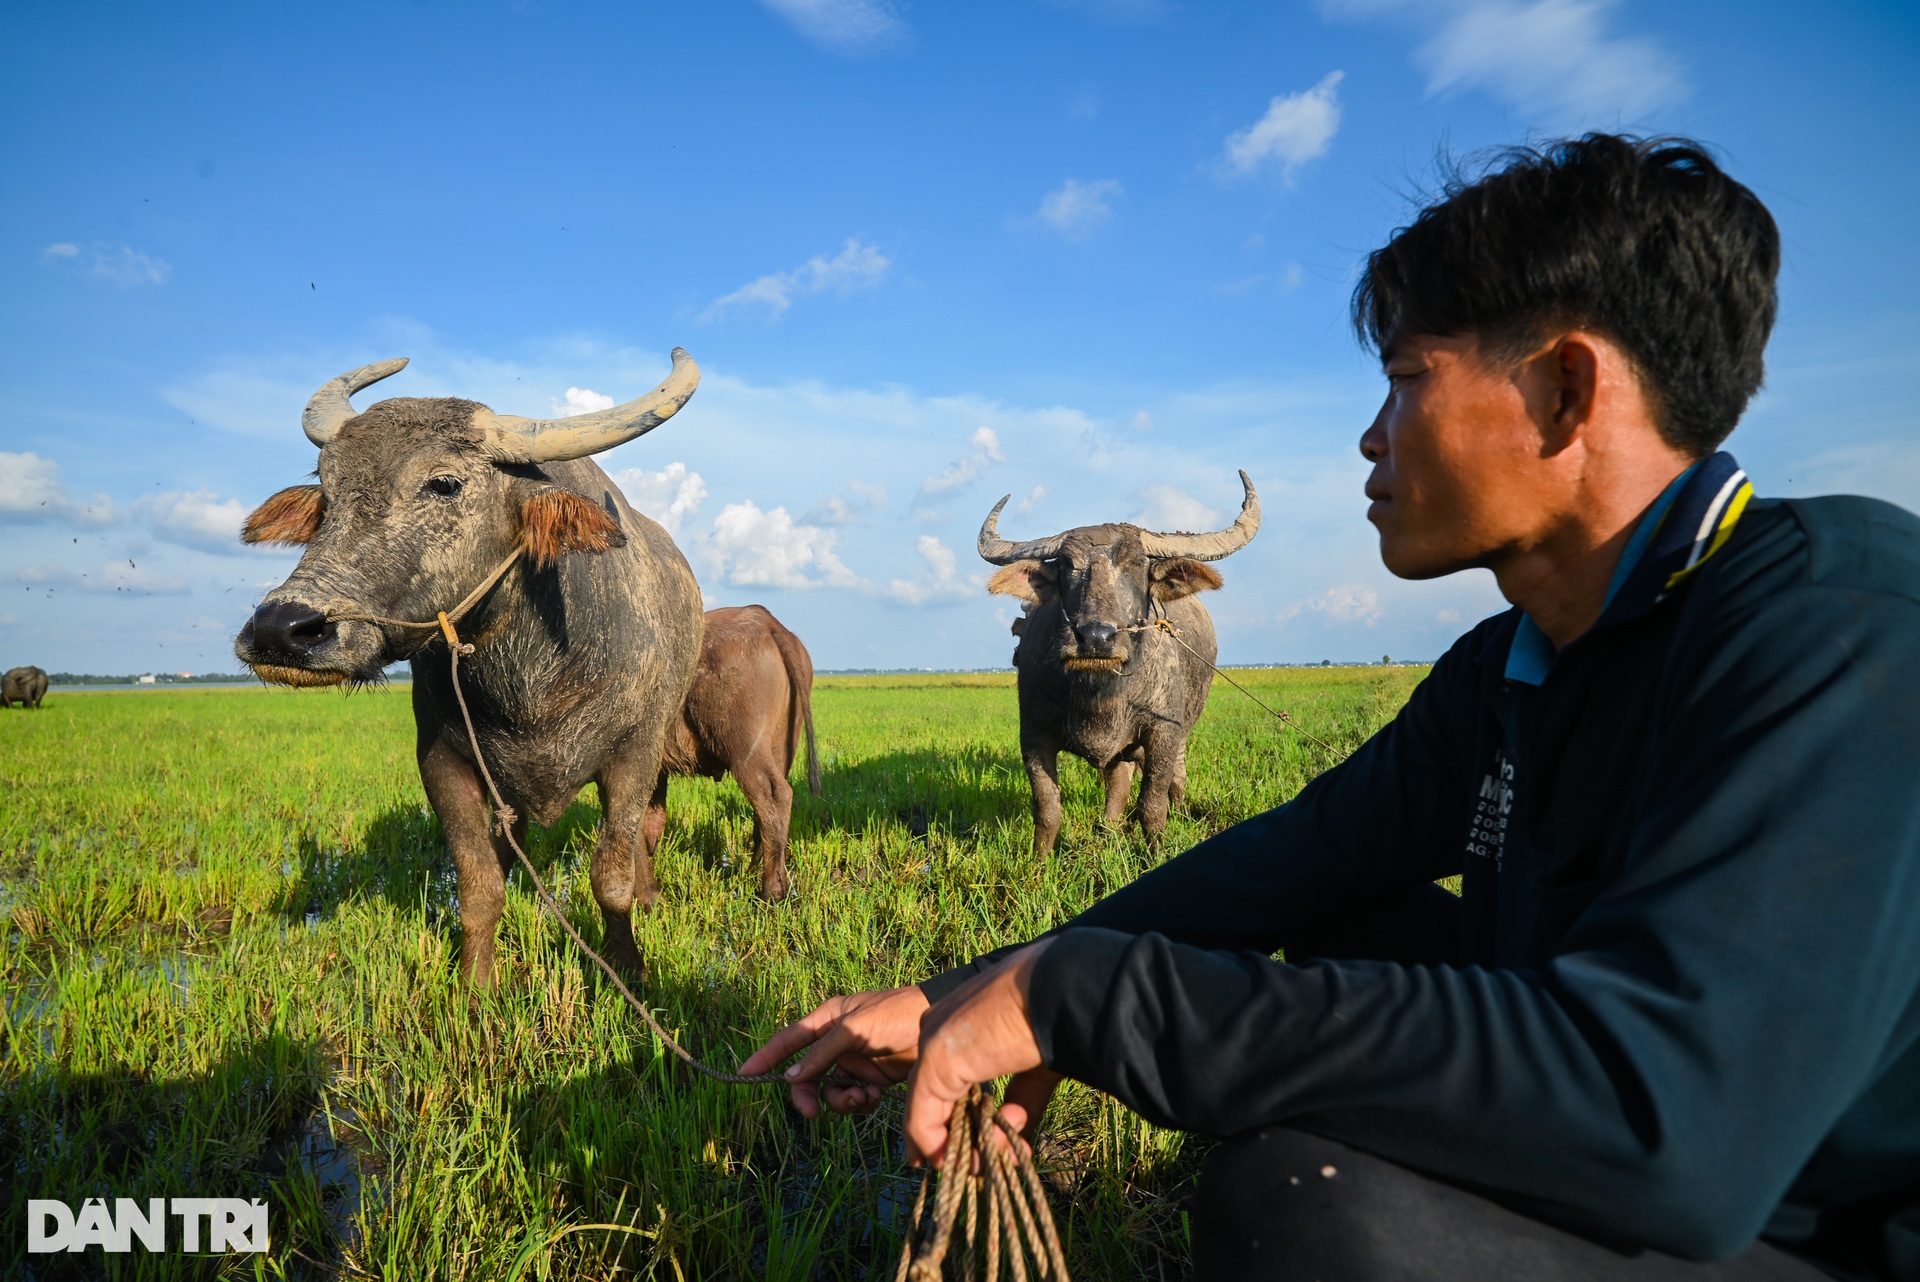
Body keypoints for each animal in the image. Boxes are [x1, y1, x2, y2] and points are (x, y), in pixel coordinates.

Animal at [234, 351, 706, 982]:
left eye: (444, 483)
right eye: (327, 492)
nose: (281, 629)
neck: (532, 679)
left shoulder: (634, 755)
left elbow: (612, 875)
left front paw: (627, 967)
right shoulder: (442, 763)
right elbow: (479, 884)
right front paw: (475, 984)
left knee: (643, 834)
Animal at [652, 602, 817, 898]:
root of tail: (768, 624)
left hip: (746, 752)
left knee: (774, 795)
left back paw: (771, 889)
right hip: (782, 747)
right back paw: (753, 872)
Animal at [975, 468, 1259, 852]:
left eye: (1137, 563)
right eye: (1066, 565)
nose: (1095, 637)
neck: (1101, 694)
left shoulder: (1163, 731)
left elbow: (1152, 804)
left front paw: (1156, 851)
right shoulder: (1033, 734)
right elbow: (1048, 808)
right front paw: (1040, 859)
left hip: (1182, 730)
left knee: (1175, 775)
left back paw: (1178, 810)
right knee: (1118, 781)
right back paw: (1108, 830)